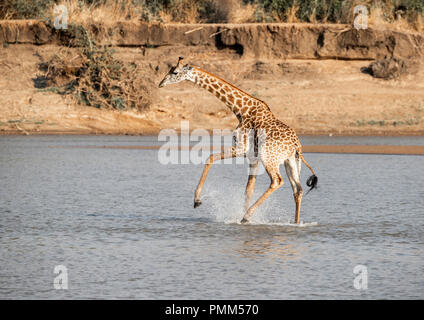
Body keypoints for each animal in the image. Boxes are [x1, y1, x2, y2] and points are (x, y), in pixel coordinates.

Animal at [159, 57, 318, 222]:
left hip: (269, 158)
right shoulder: (252, 156)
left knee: (277, 181)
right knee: (298, 190)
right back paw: (295, 223)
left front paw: (197, 200)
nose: (160, 83)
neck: (240, 109)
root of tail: (296, 145)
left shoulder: (242, 148)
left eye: (175, 72)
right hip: (291, 162)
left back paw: (246, 216)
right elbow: (248, 189)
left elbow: (210, 157)